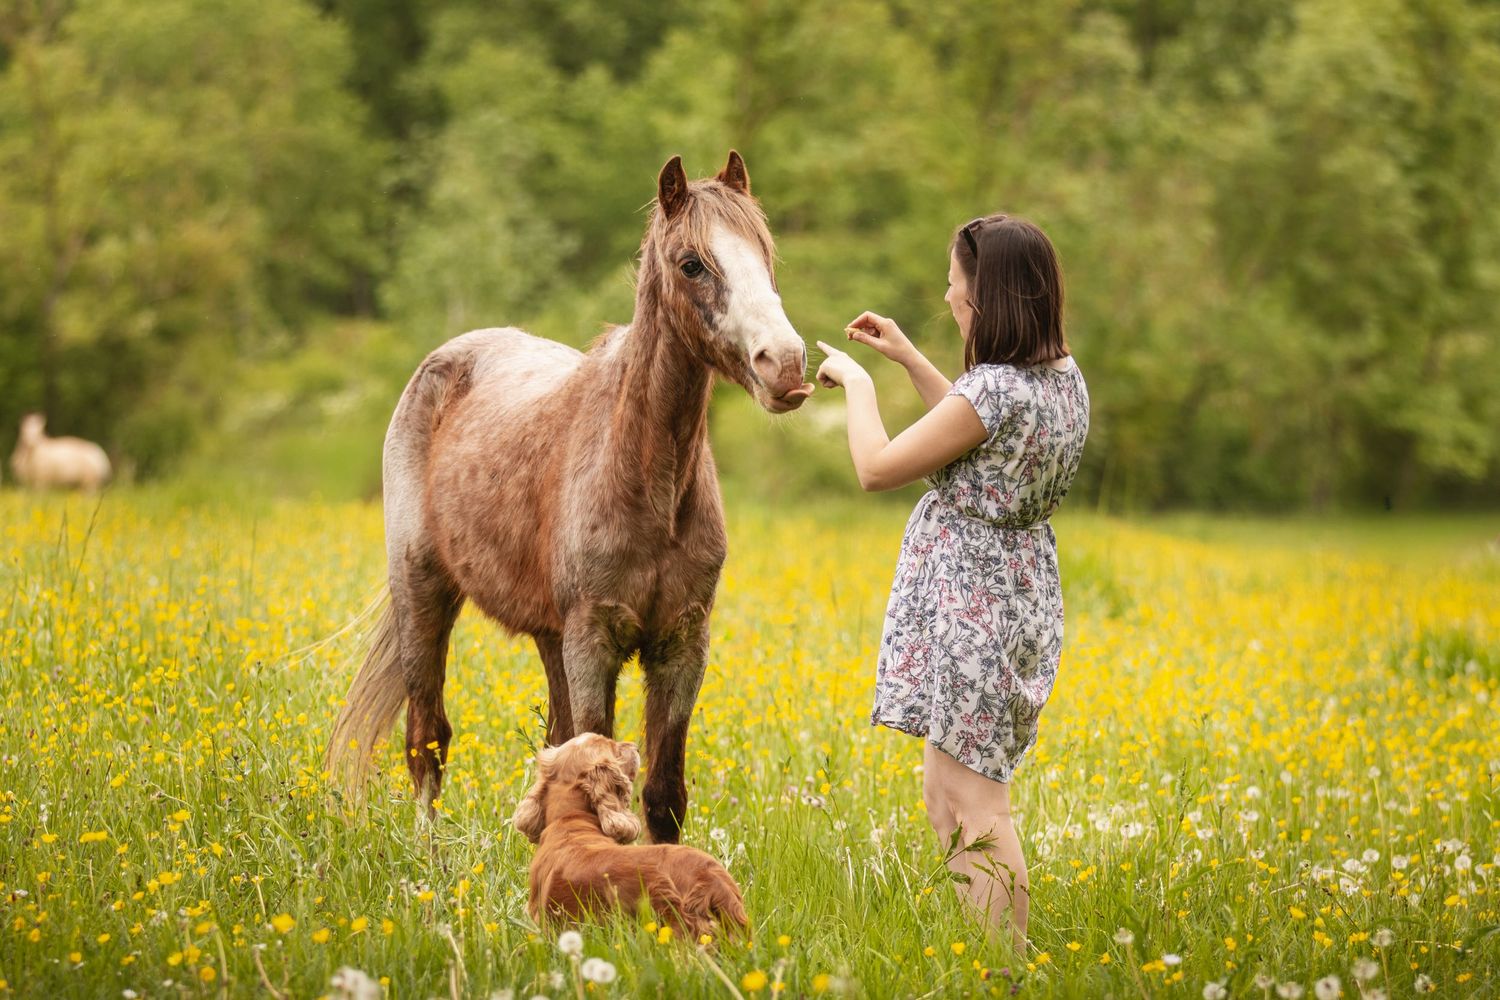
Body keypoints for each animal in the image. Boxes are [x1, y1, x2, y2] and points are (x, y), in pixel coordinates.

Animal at [327, 151, 812, 843]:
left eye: (764, 253)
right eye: (692, 263)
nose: (786, 364)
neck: (647, 483)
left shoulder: (681, 645)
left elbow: (661, 793)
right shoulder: (593, 640)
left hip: (548, 636)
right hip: (423, 589)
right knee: (427, 738)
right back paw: (426, 854)